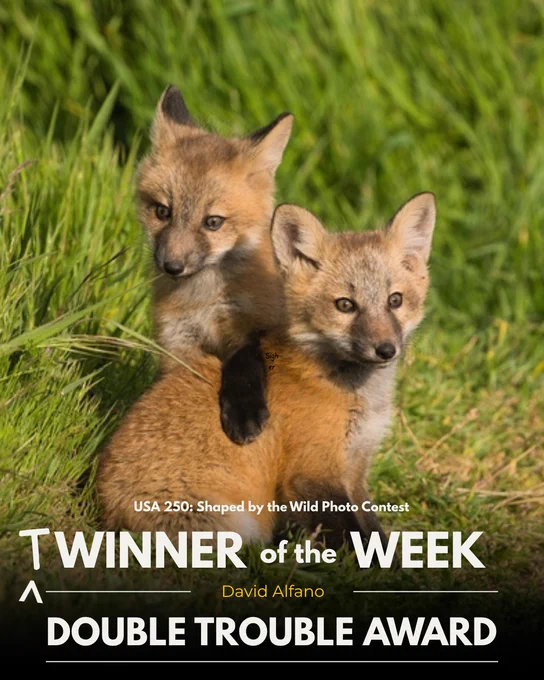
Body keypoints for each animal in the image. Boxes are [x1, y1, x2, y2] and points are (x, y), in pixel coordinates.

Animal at [98, 192, 436, 547]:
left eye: (395, 300)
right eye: (345, 305)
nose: (386, 349)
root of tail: (106, 514)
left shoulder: (355, 468)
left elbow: (375, 532)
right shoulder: (311, 474)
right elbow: (357, 542)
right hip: (239, 527)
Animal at [138, 85, 293, 444]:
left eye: (213, 222)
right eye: (162, 212)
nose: (172, 266)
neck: (204, 303)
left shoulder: (259, 324)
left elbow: (245, 361)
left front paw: (244, 413)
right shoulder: (178, 342)